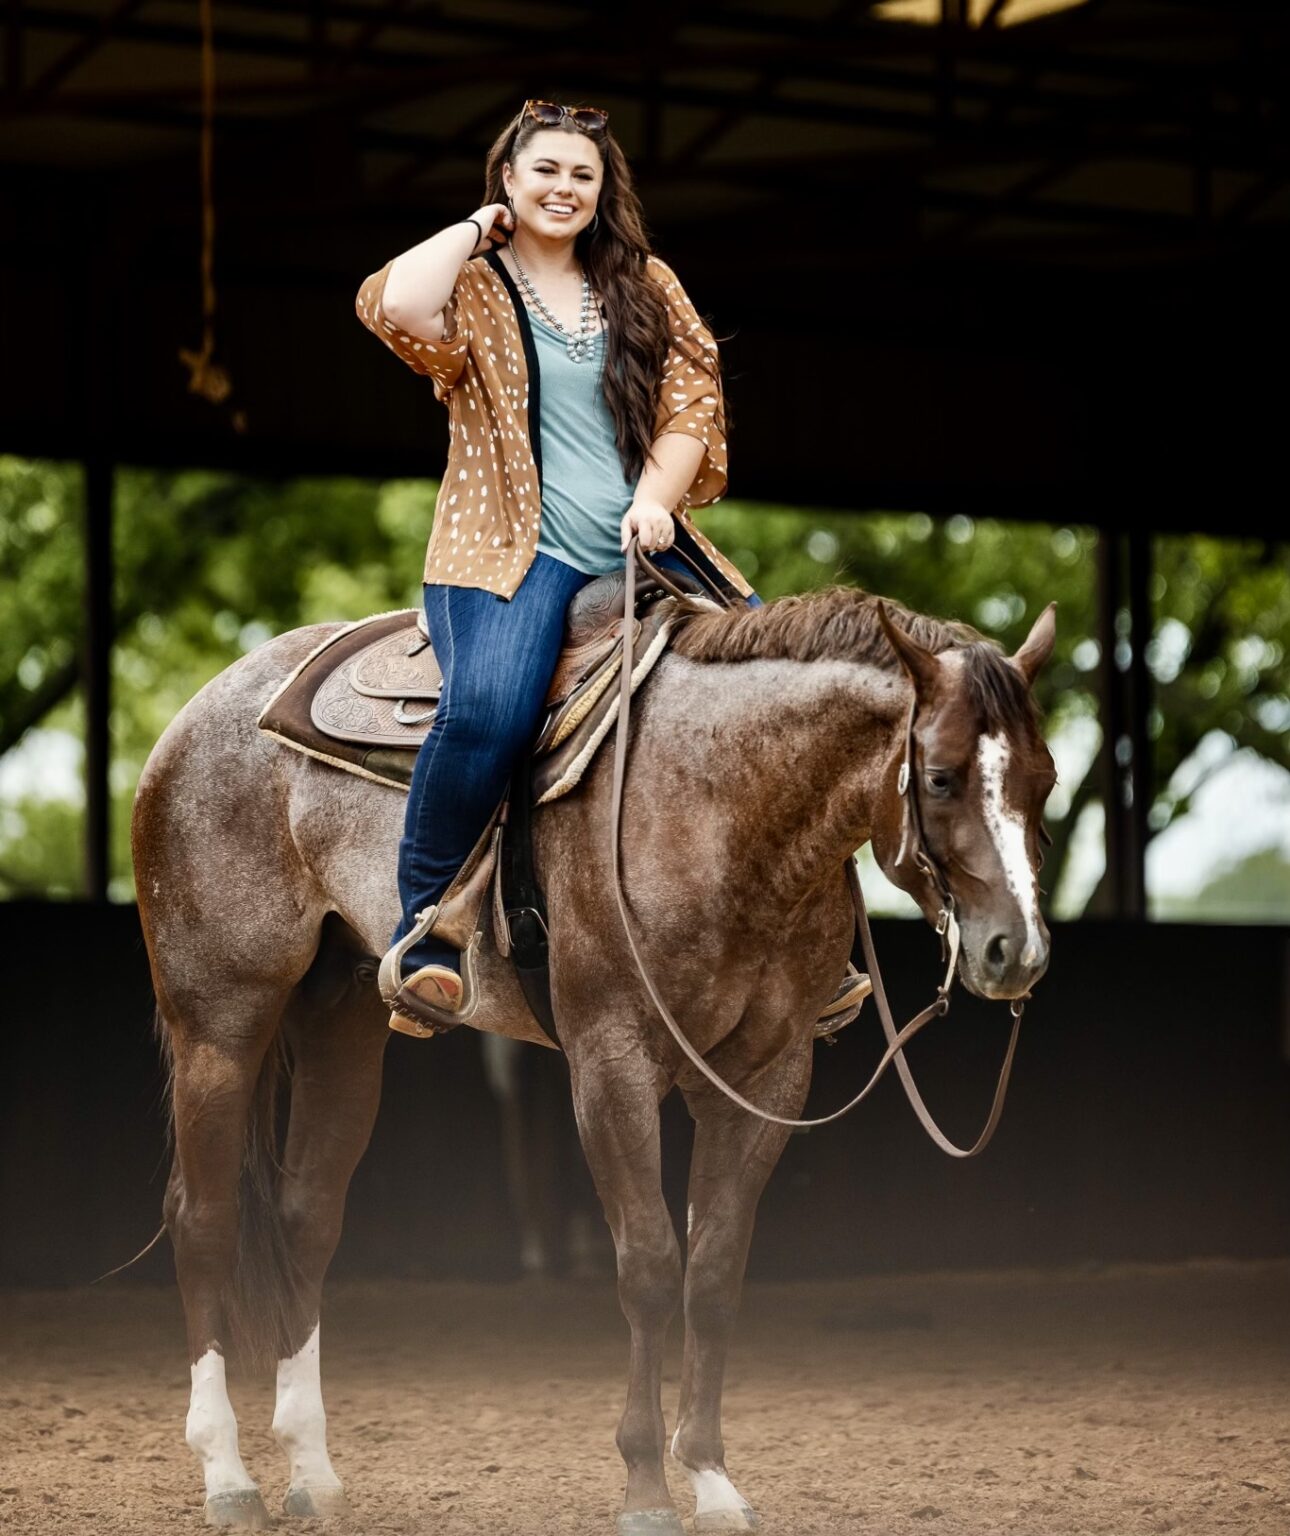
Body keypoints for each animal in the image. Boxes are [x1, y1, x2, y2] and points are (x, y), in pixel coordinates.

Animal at [133, 580, 1056, 1529]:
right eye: (940, 777)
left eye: (1045, 779)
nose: (1014, 952)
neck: (719, 801)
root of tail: (201, 715)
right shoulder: (613, 1064)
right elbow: (648, 1264)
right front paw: (647, 1486)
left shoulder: (768, 1075)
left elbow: (714, 1272)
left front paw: (712, 1479)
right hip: (220, 1019)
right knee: (202, 1220)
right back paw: (228, 1476)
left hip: (339, 1017)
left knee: (305, 1218)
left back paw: (310, 1471)